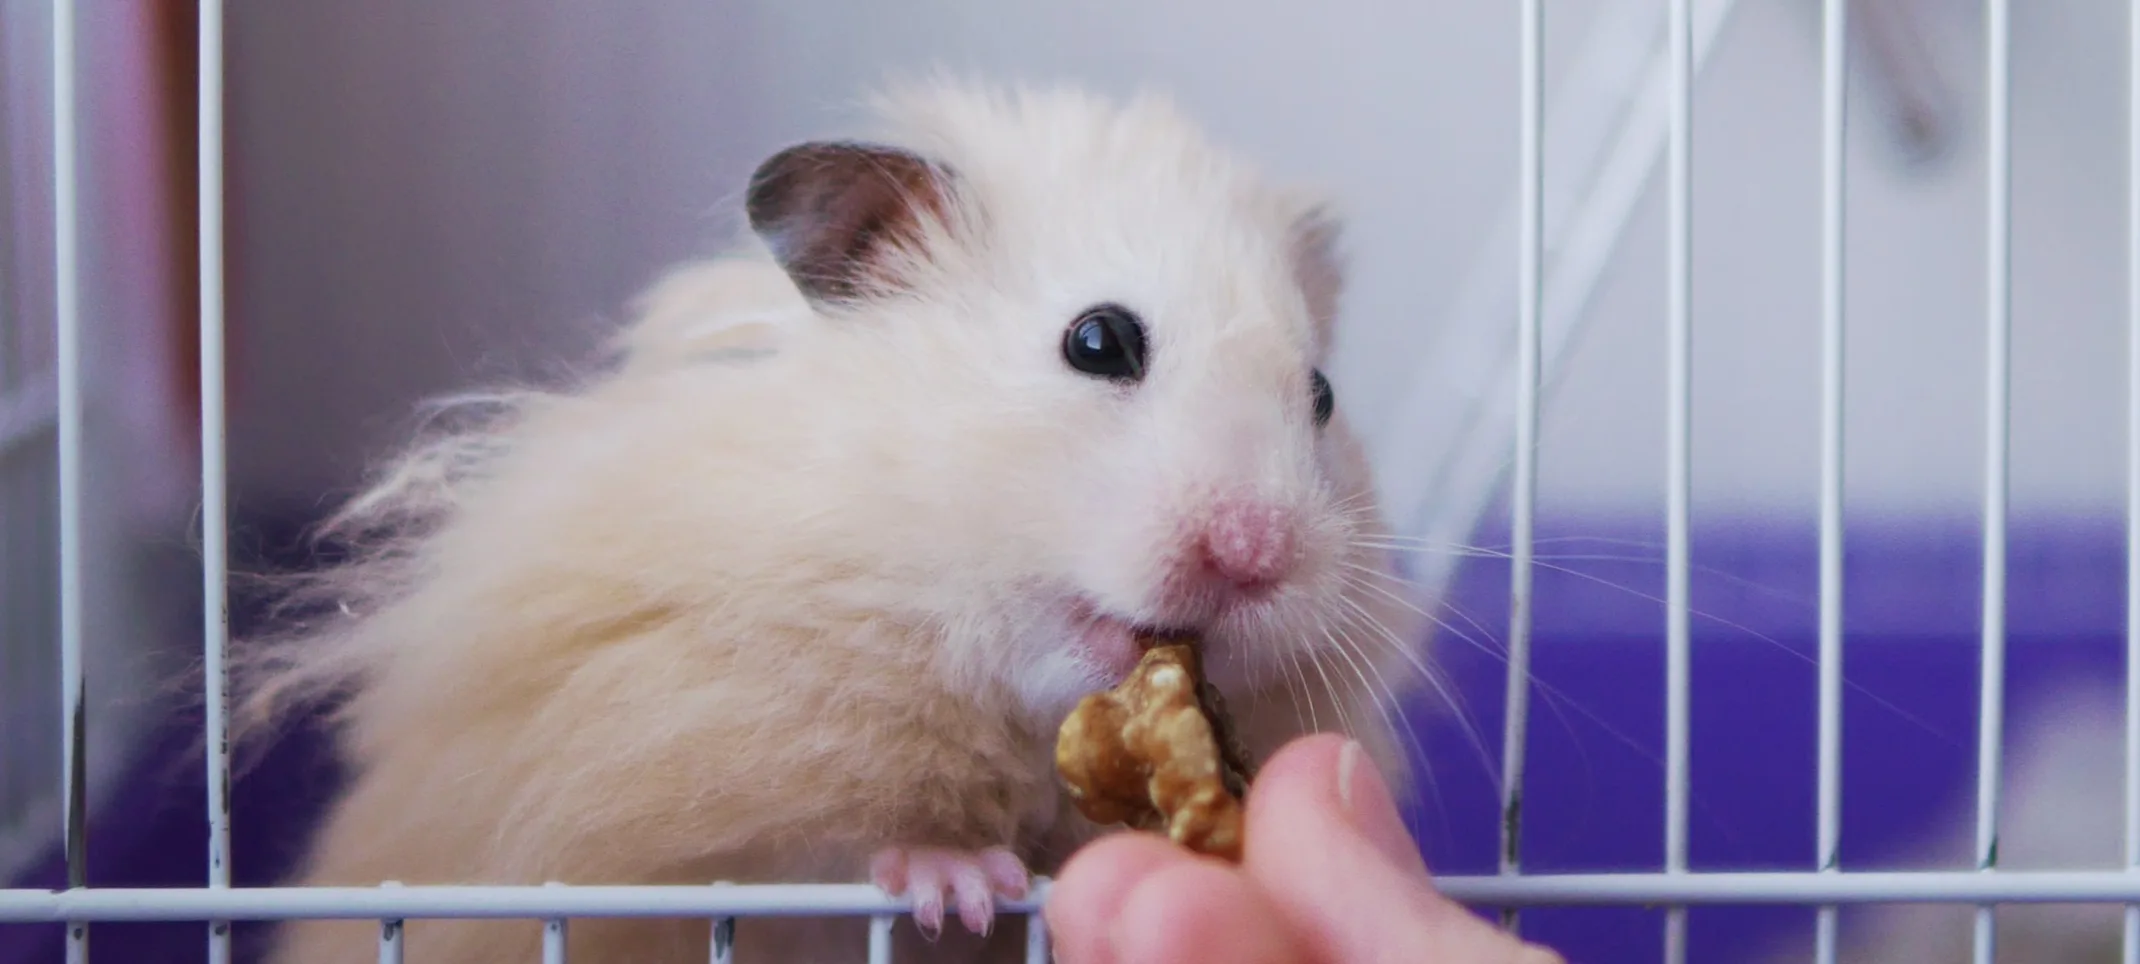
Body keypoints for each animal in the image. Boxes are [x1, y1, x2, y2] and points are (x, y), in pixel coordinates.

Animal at [238, 77, 1420, 964]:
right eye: (1098, 341)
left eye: (1320, 395)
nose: (1256, 555)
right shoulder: (681, 770)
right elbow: (824, 844)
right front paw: (964, 883)